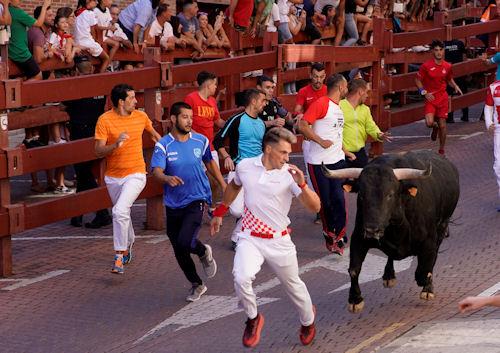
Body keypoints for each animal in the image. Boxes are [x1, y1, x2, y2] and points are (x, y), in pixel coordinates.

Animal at [322, 150, 458, 312]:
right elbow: (354, 269)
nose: (372, 229)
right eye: (361, 194)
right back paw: (389, 276)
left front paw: (426, 286)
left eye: (390, 194)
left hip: (442, 226)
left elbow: (424, 269)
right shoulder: (359, 238)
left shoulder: (429, 241)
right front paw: (355, 300)